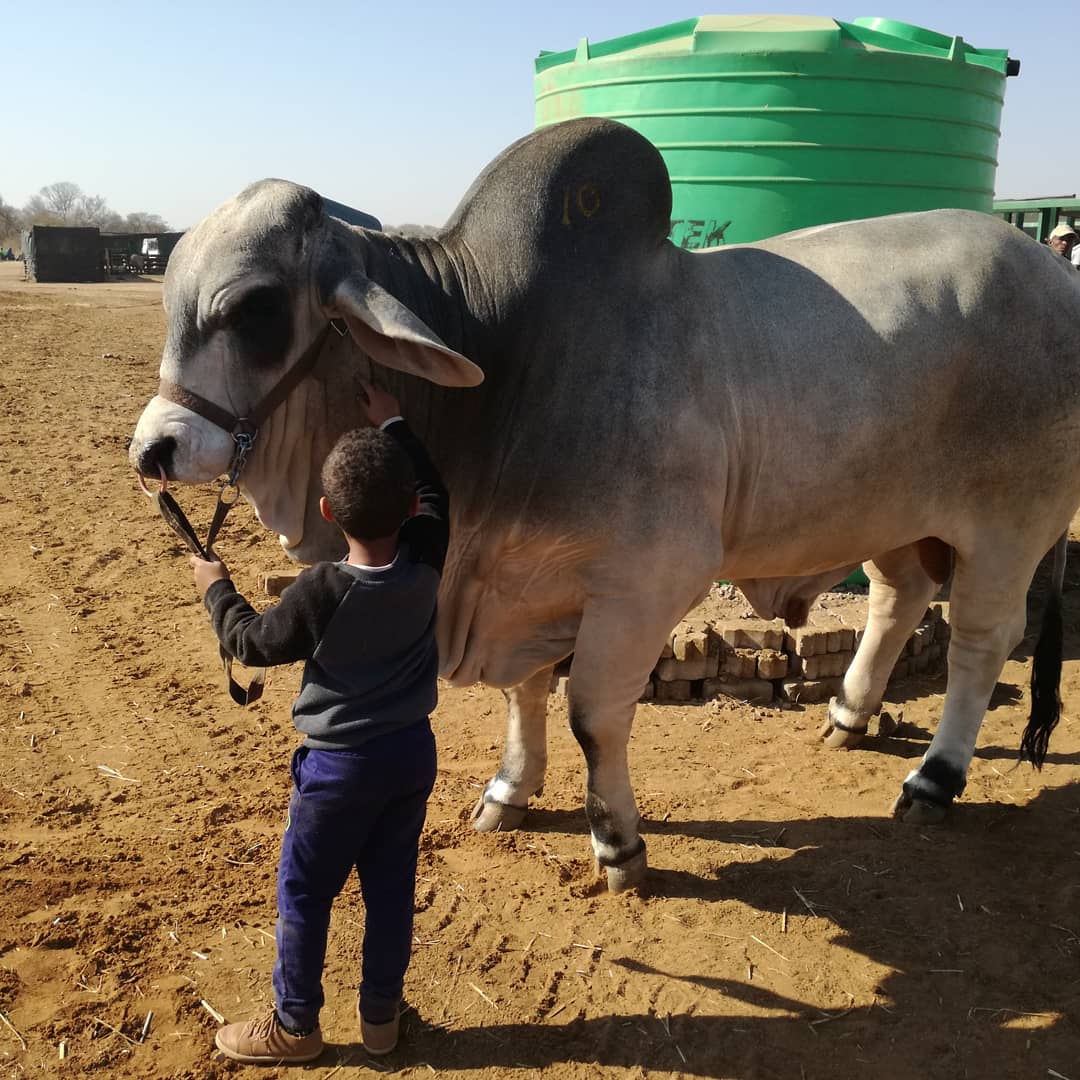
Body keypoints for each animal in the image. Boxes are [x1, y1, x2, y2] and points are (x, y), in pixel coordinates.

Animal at [129, 118, 1080, 892]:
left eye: (253, 307)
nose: (153, 451)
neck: (510, 353)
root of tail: (1053, 274)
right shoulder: (522, 583)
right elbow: (524, 695)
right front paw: (508, 792)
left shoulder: (643, 584)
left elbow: (592, 714)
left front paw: (617, 843)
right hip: (892, 514)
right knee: (897, 598)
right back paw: (847, 715)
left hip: (1008, 526)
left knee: (981, 644)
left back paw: (935, 779)